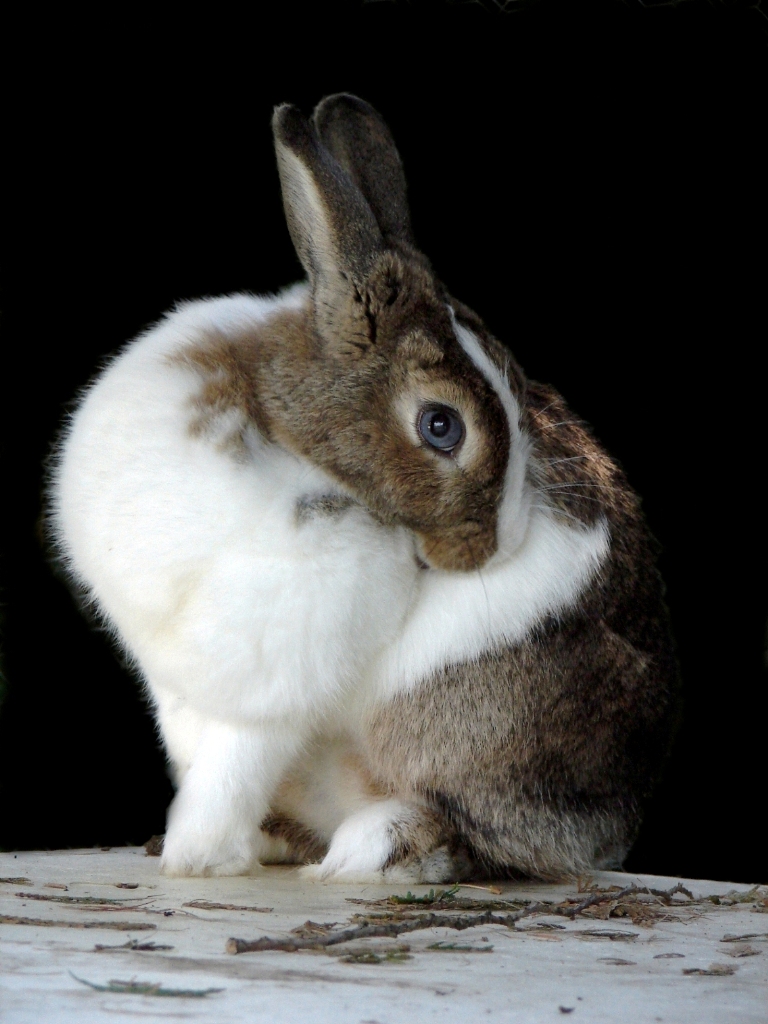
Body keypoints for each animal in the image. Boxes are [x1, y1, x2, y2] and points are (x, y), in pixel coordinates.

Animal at [51, 92, 679, 884]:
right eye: (441, 426)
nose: (494, 547)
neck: (282, 432)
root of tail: (619, 827)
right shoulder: (180, 692)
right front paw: (203, 854)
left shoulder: (268, 693)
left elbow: (227, 777)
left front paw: (196, 859)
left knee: (490, 840)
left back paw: (376, 845)